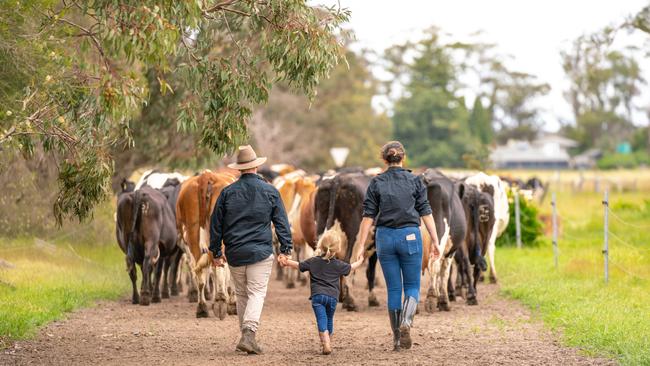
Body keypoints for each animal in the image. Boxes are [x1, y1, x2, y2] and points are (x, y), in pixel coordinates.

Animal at [176, 170, 237, 318]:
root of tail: (208, 176)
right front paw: (231, 303)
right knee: (220, 264)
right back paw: (221, 300)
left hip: (192, 233)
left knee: (199, 271)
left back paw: (202, 307)